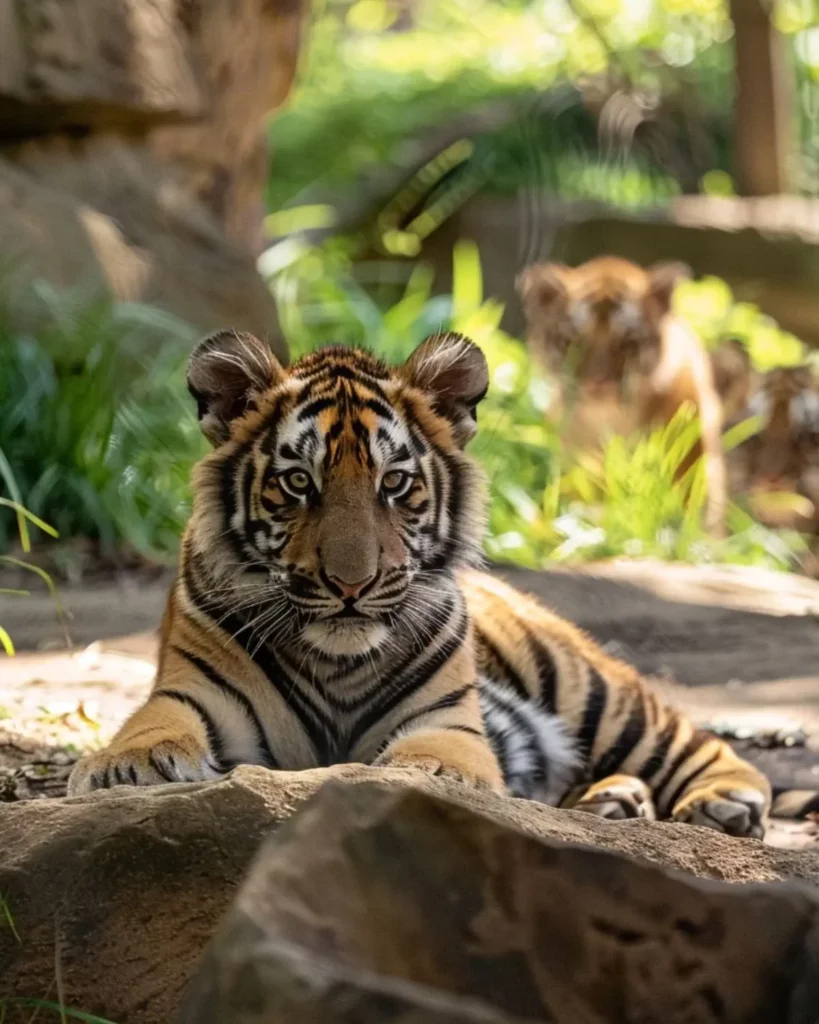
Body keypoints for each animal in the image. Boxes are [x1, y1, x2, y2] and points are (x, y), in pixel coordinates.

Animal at [67, 331, 814, 835]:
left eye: (394, 483)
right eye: (298, 482)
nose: (351, 584)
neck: (336, 660)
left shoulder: (445, 719)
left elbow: (431, 756)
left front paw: (423, 779)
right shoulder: (190, 692)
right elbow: (151, 726)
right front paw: (127, 768)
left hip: (587, 686)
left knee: (698, 741)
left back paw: (719, 803)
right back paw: (613, 800)